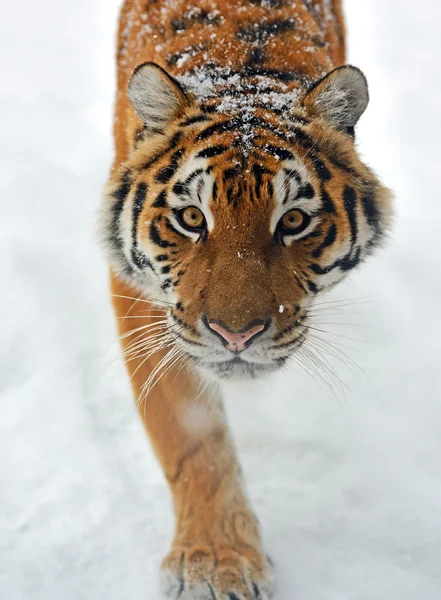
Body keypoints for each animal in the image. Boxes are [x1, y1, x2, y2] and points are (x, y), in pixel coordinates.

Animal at [99, 1, 392, 600]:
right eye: (192, 218)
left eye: (294, 221)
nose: (237, 335)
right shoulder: (145, 299)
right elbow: (190, 432)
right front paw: (217, 563)